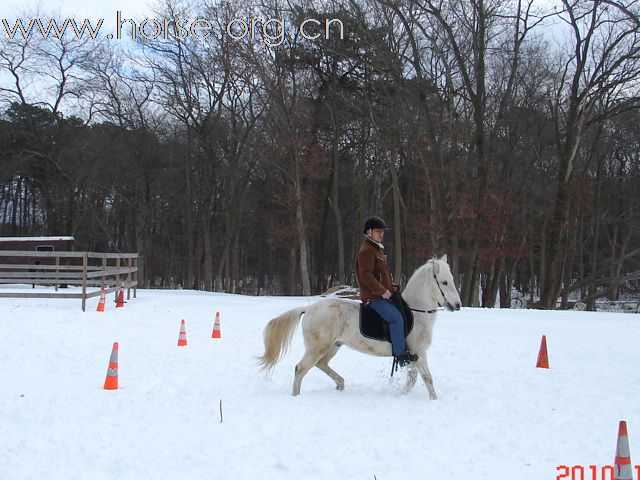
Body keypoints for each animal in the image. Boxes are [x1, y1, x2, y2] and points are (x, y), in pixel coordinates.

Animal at [258, 255, 462, 398]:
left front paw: (402, 395)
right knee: (301, 368)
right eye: (444, 282)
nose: (458, 305)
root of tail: (308, 309)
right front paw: (434, 400)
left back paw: (340, 383)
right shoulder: (418, 353)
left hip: (333, 346)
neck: (416, 311)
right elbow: (427, 378)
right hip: (317, 348)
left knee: (321, 364)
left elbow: (412, 380)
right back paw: (296, 396)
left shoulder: (414, 355)